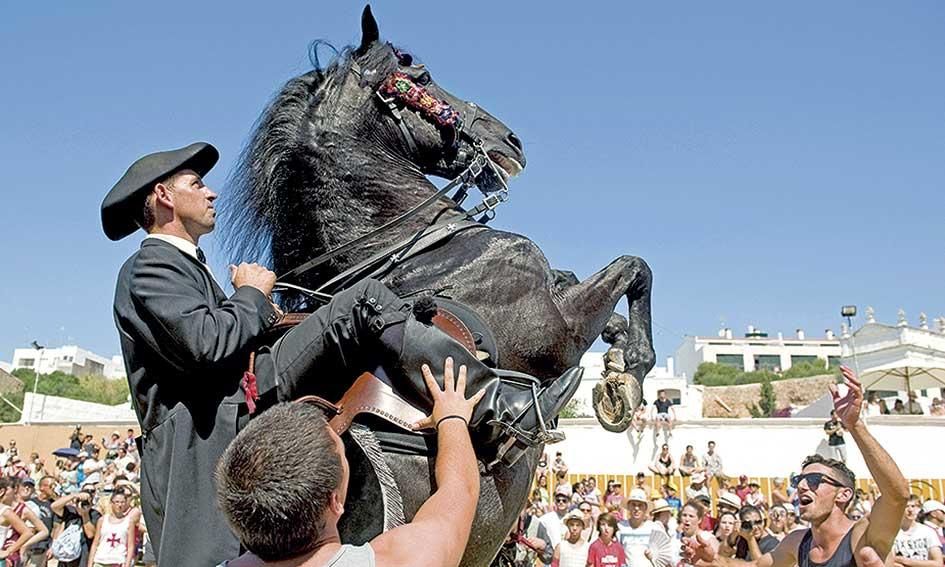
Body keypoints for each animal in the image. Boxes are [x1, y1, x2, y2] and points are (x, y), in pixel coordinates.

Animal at [220, 5, 652, 567]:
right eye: (422, 77)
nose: (511, 141)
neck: (412, 246)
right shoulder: (559, 326)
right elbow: (634, 268)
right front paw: (628, 378)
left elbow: (613, 295)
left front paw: (618, 361)